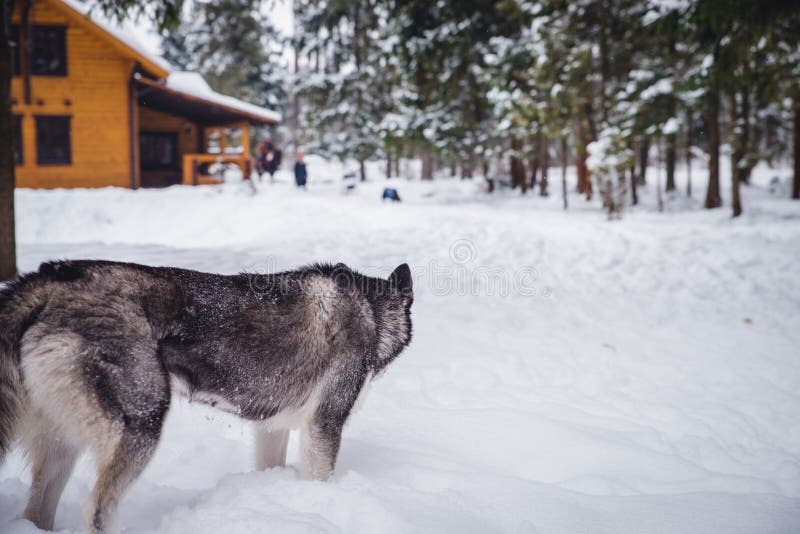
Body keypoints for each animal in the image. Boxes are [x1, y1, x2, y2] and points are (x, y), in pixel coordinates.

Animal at [0, 258, 412, 532]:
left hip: (62, 446)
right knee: (98, 512)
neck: (372, 313)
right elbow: (319, 478)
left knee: (37, 513)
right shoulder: (324, 425)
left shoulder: (272, 427)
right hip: (142, 422)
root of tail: (52, 279)